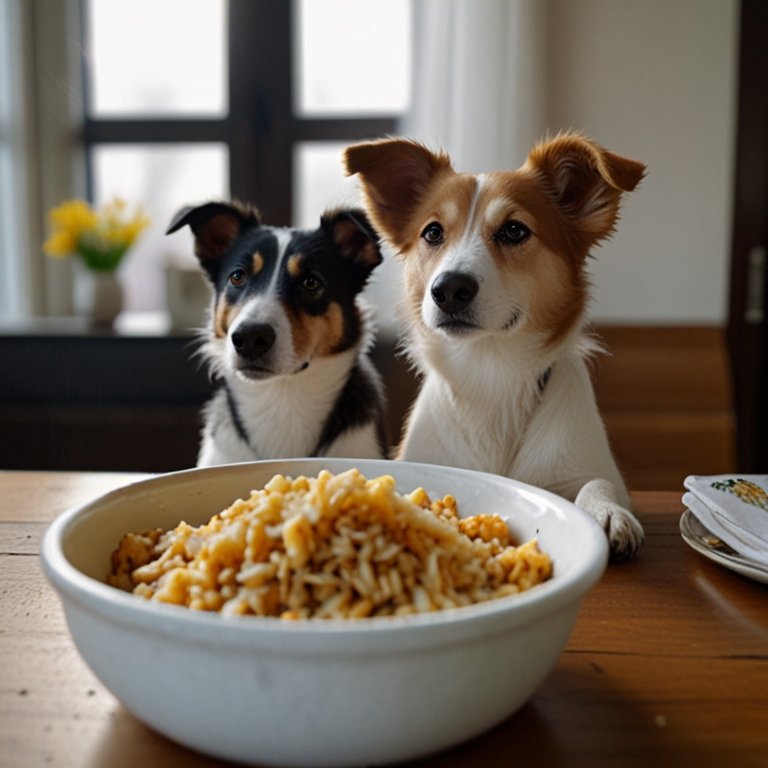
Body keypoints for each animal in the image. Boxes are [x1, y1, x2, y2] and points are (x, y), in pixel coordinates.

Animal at [344, 134, 644, 560]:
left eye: (514, 231)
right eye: (432, 233)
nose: (448, 289)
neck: (490, 377)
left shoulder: (586, 465)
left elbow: (597, 483)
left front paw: (606, 511)